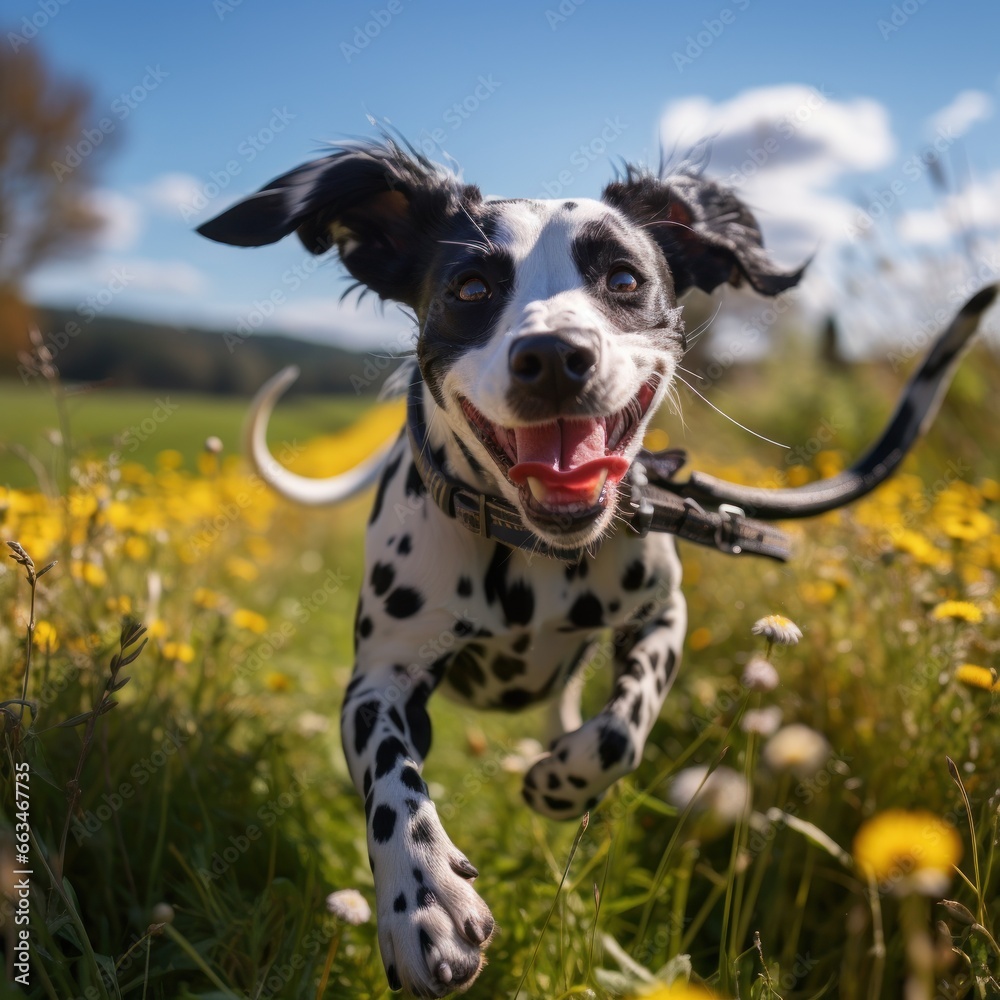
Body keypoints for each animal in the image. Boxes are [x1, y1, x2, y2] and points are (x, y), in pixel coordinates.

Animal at [197, 139, 804, 992]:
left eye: (624, 279)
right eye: (472, 287)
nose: (553, 356)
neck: (532, 549)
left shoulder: (662, 614)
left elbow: (622, 731)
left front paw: (565, 780)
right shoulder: (379, 683)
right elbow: (392, 782)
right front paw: (423, 900)